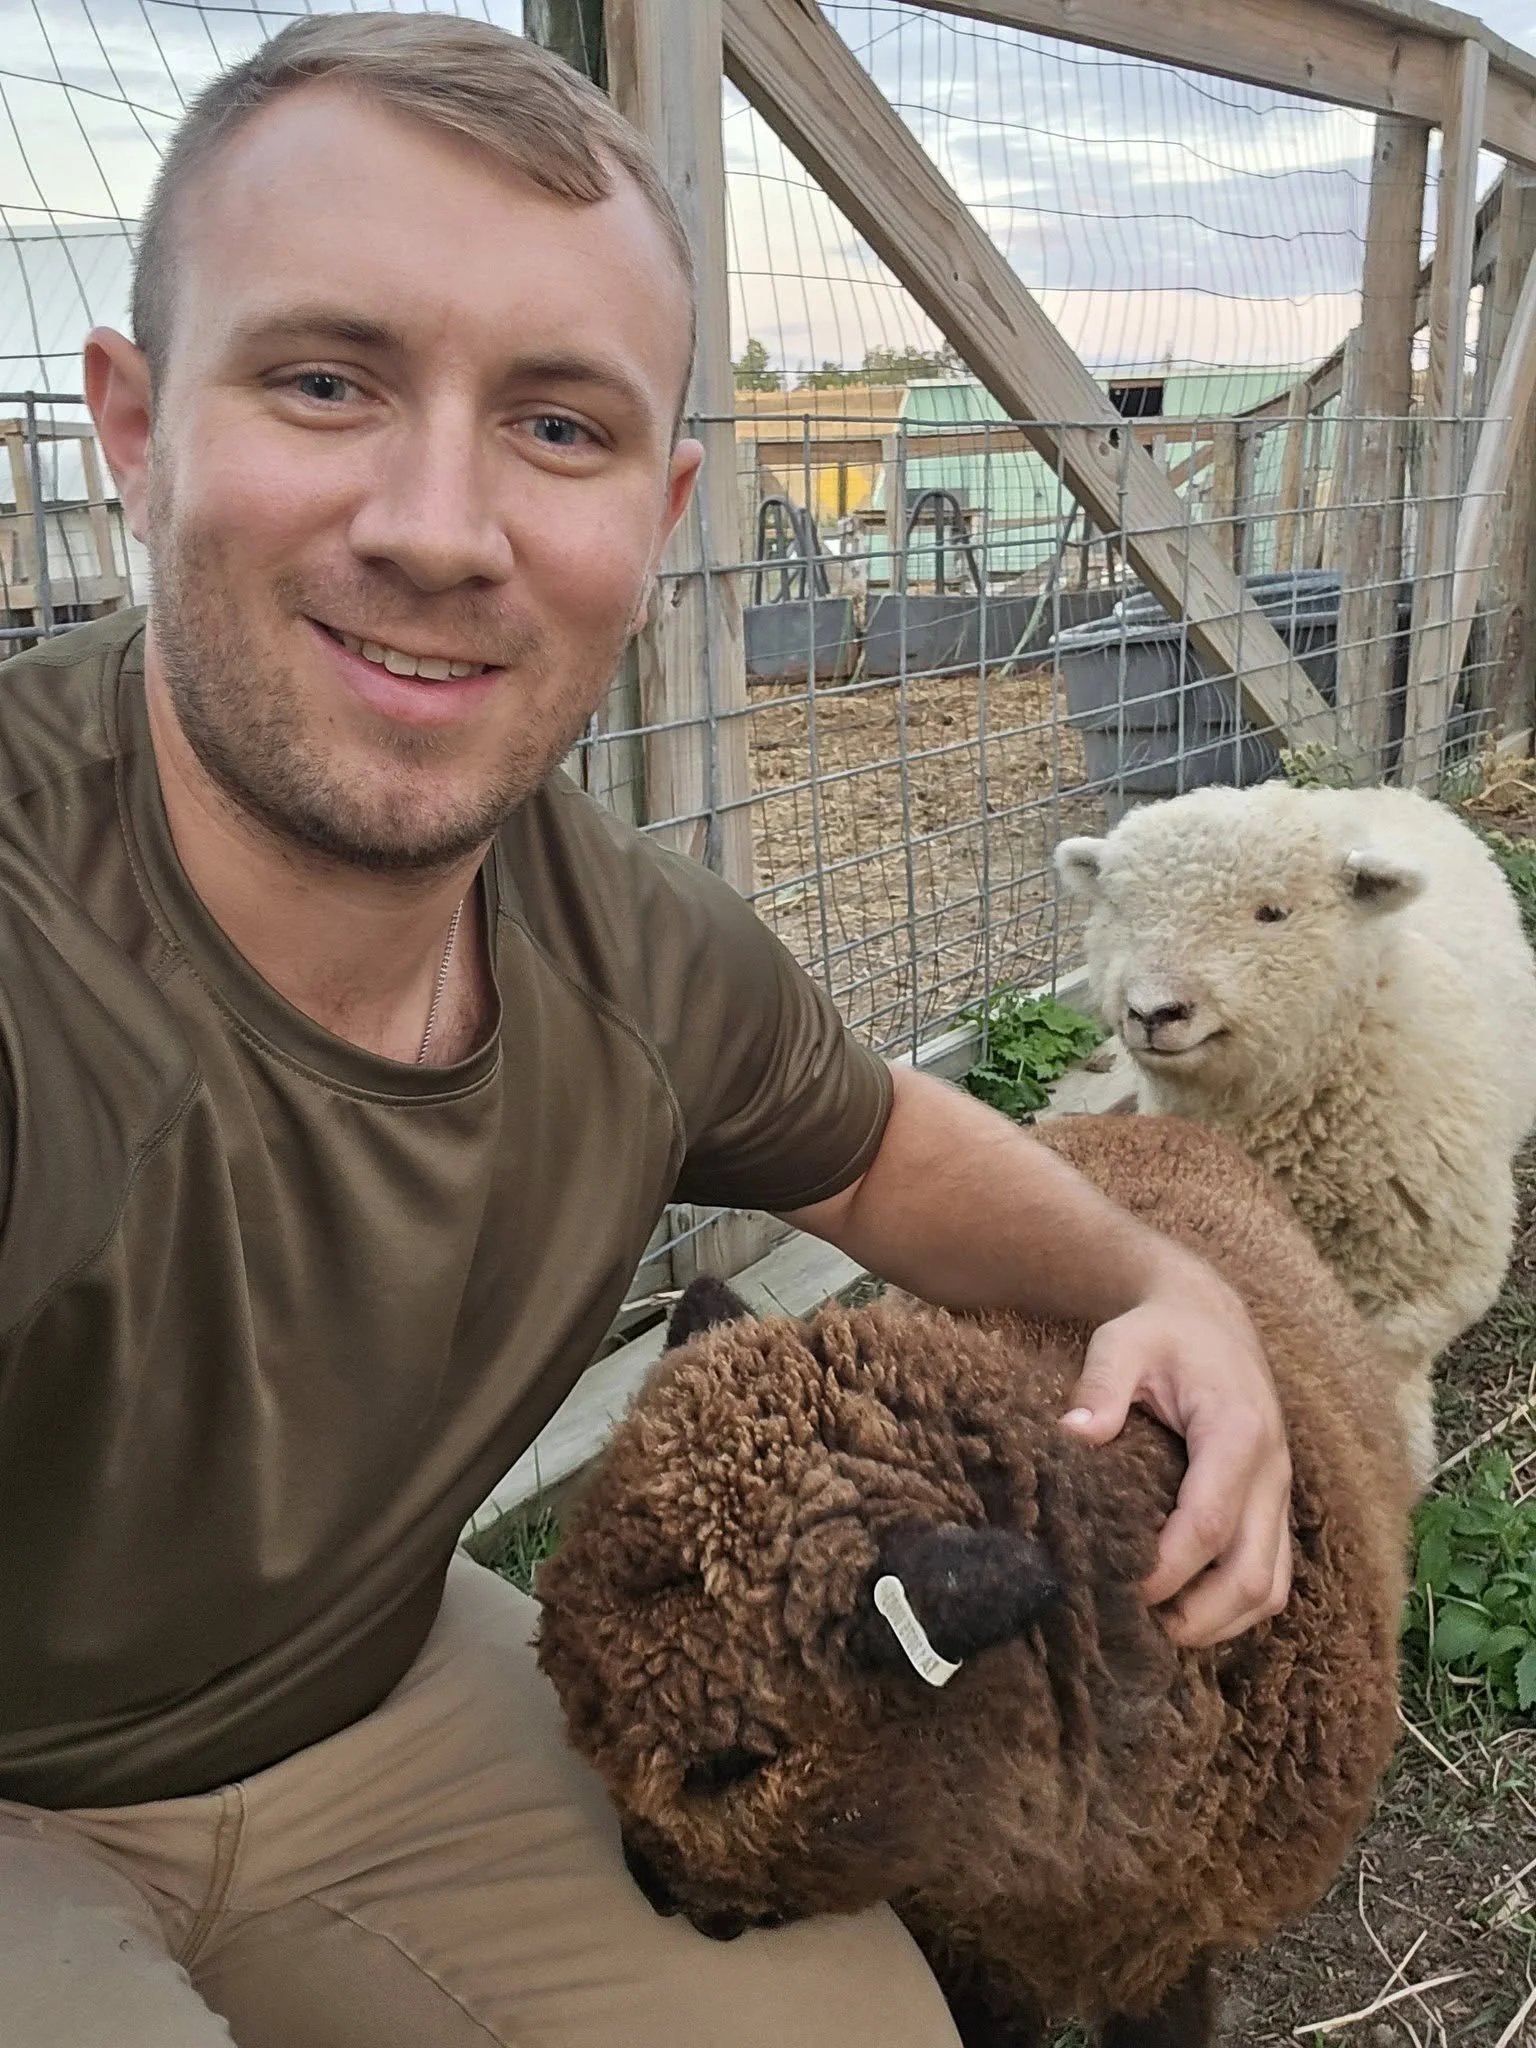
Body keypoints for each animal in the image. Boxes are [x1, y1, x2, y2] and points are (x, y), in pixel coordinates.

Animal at [1054, 781, 1536, 1483]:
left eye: (1272, 913)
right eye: (1118, 907)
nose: (1153, 1010)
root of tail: (1387, 790)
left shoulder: (1431, 1279)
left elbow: (1380, 1368)